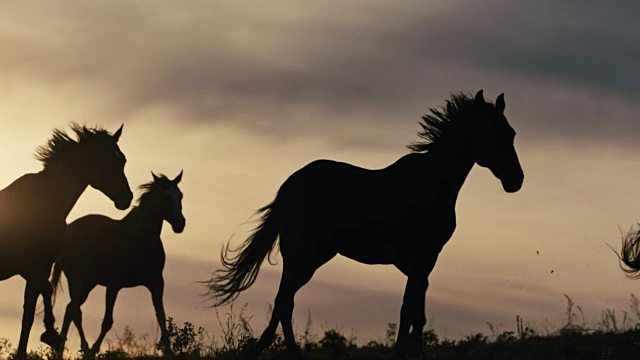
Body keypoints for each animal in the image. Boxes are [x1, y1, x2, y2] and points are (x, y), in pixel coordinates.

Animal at [0, 123, 132, 358]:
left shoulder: (39, 268)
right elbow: (36, 304)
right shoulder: (33, 268)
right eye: (104, 159)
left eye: (122, 160)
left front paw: (48, 336)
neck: (45, 203)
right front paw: (48, 336)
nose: (126, 198)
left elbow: (35, 304)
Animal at [51, 172, 185, 358]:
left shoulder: (156, 283)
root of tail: (69, 230)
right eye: (165, 197)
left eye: (180, 196)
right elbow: (107, 321)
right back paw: (74, 349)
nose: (180, 224)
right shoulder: (114, 285)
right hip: (80, 282)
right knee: (73, 310)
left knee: (72, 311)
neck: (140, 239)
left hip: (86, 284)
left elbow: (161, 316)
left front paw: (169, 351)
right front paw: (95, 349)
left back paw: (69, 348)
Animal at [205, 90, 524, 360]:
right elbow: (410, 311)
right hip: (304, 257)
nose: (516, 180)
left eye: (511, 133)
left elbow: (414, 311)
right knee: (284, 303)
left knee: (284, 303)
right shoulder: (417, 261)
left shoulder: (426, 261)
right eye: (491, 133)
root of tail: (288, 188)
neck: (431, 184)